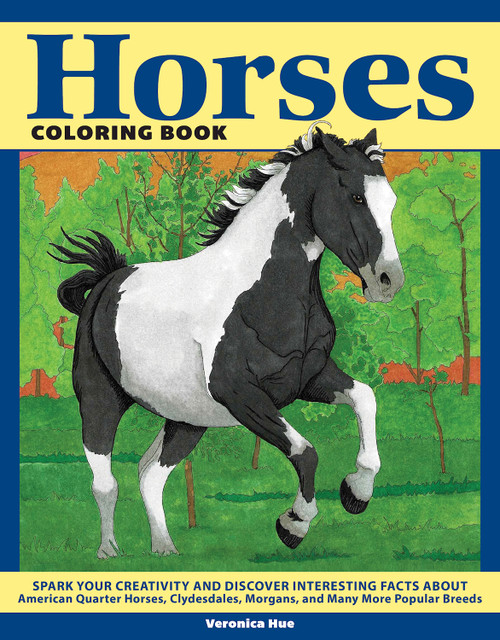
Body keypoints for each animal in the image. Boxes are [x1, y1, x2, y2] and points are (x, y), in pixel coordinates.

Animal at [50, 122, 404, 558]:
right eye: (355, 196)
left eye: (390, 200)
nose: (388, 282)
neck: (263, 294)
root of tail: (106, 281)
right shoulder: (240, 394)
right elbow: (305, 452)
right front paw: (293, 524)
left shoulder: (308, 378)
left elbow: (365, 399)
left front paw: (356, 493)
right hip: (101, 401)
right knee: (105, 483)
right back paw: (109, 552)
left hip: (186, 420)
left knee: (150, 475)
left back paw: (165, 550)